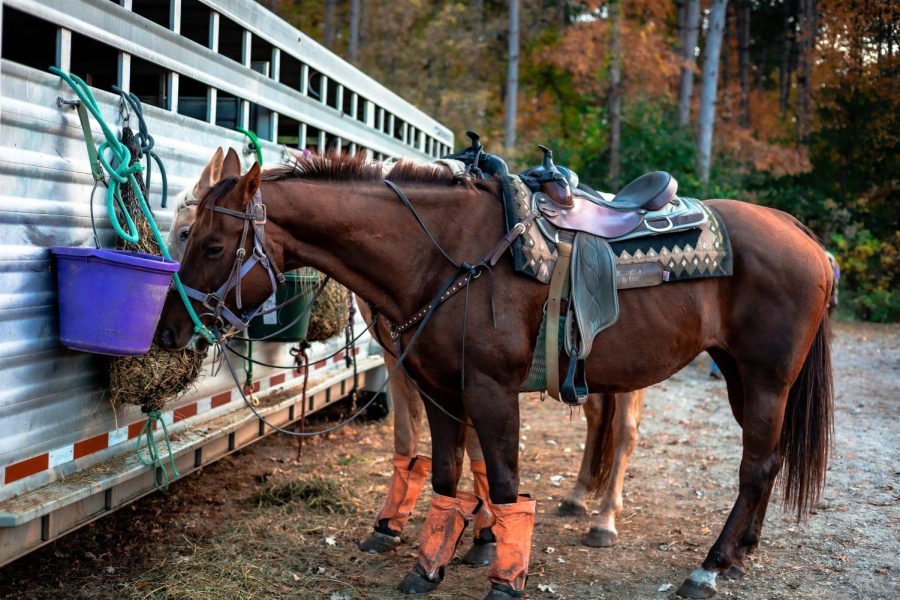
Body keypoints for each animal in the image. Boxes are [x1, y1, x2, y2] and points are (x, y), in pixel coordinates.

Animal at [156, 151, 836, 600]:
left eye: (211, 245)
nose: (168, 331)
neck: (446, 257)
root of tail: (803, 235)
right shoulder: (440, 390)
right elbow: (448, 476)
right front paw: (429, 566)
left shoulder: (489, 390)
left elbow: (505, 484)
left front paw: (505, 578)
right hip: (738, 375)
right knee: (765, 461)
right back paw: (740, 551)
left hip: (764, 379)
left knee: (750, 466)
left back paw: (707, 564)